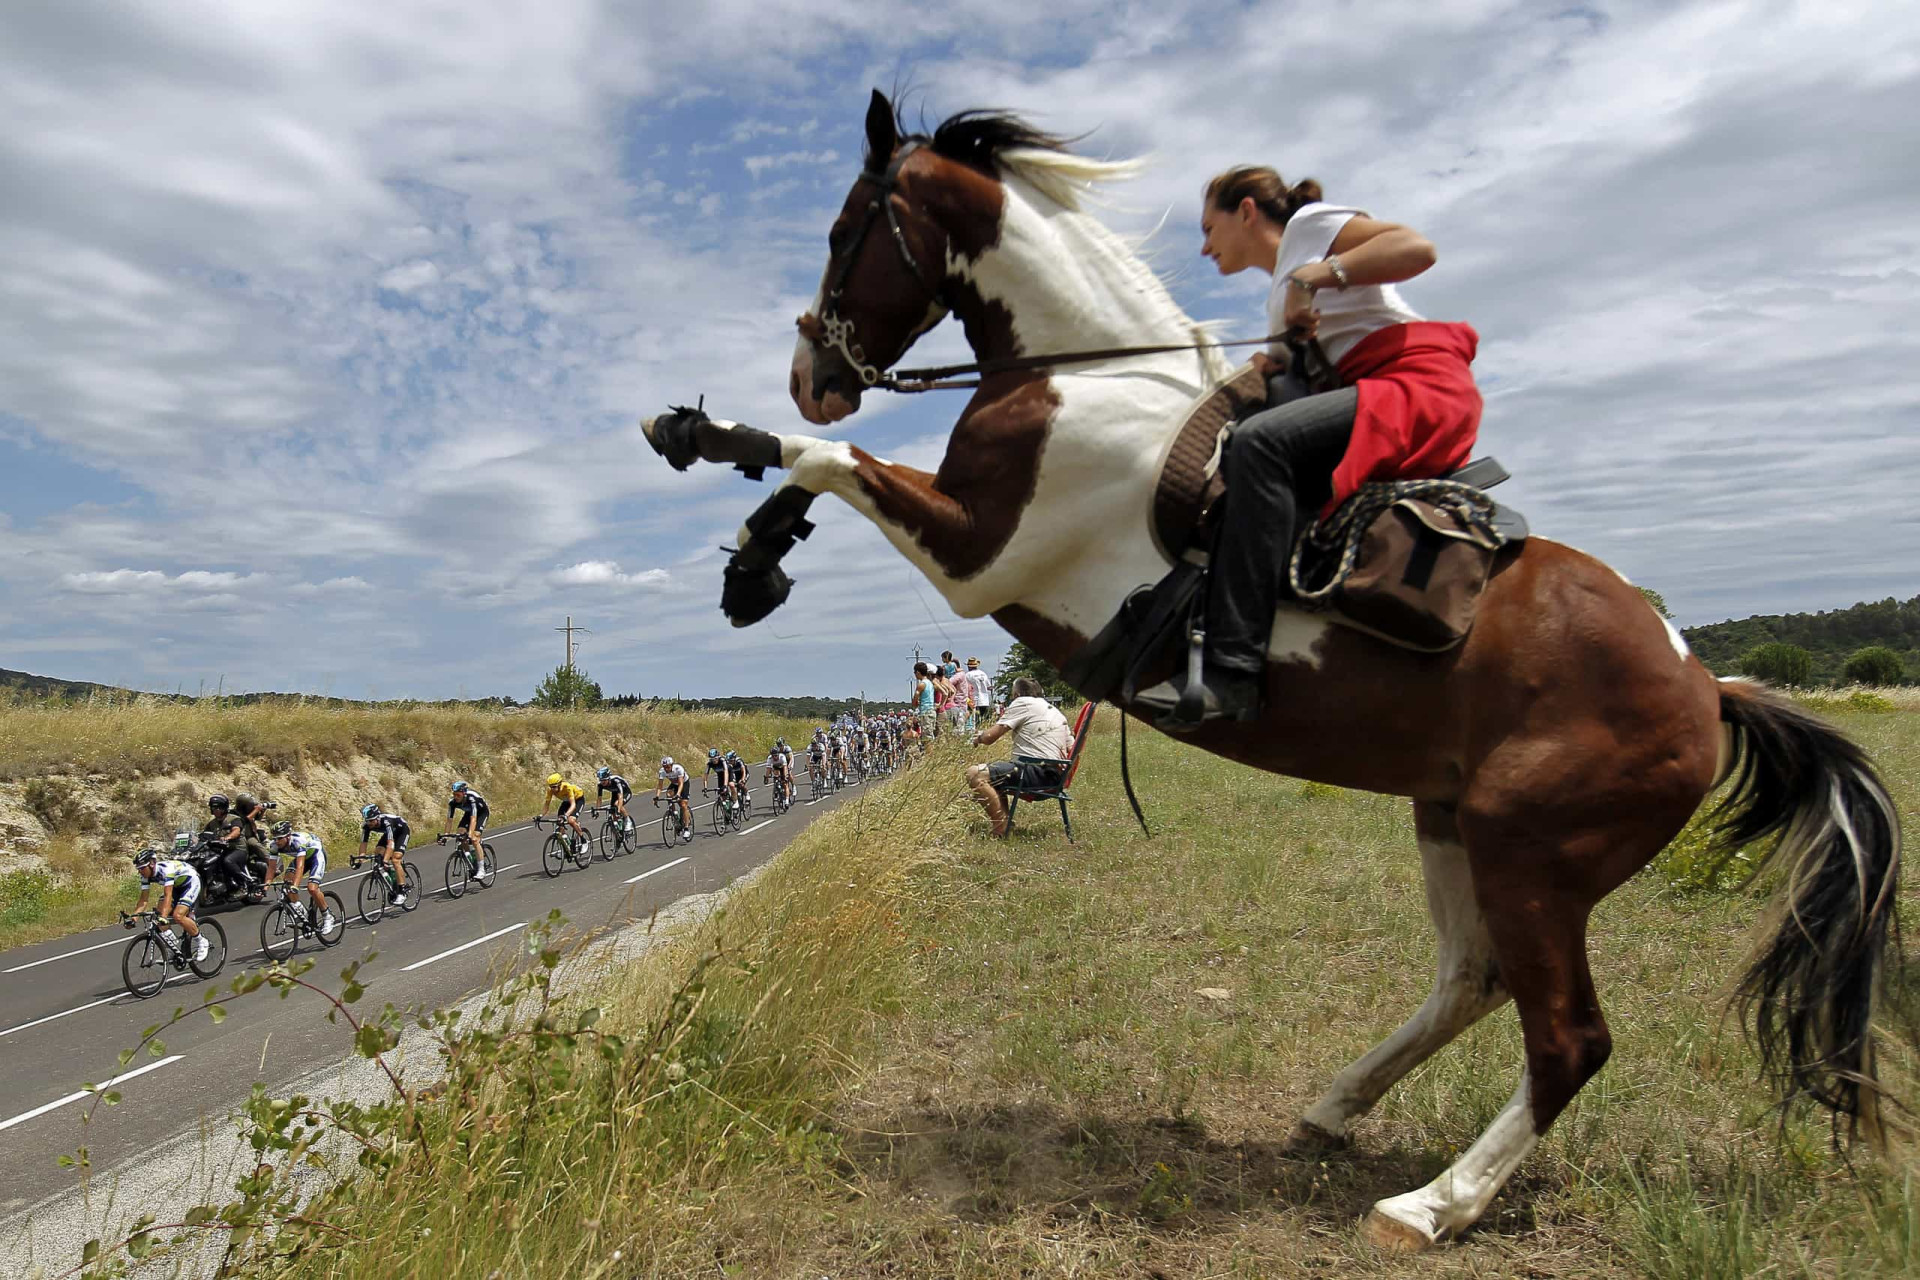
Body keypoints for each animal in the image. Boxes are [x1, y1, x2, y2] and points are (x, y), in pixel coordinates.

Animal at [637, 92, 1896, 1251]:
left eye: (847, 227)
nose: (811, 369)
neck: (1084, 380)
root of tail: (1707, 689)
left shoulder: (976, 551)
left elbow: (830, 458)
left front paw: (713, 451)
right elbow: (821, 467)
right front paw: (750, 553)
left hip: (1533, 850)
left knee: (1568, 1037)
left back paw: (1431, 1203)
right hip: (1454, 820)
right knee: (1472, 980)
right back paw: (1335, 1105)